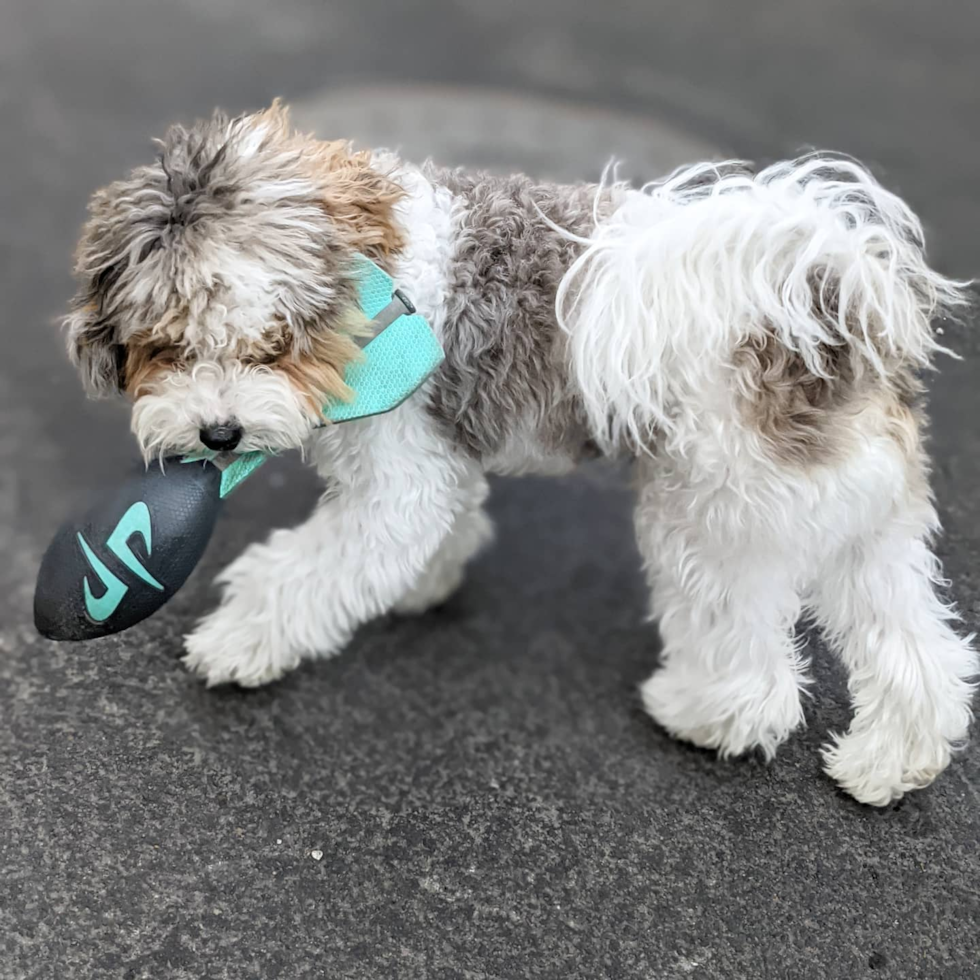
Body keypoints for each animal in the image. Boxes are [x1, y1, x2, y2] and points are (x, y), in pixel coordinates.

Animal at [65, 101, 976, 804]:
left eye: (272, 344)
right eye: (168, 347)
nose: (219, 435)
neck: (377, 280)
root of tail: (822, 311)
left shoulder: (398, 478)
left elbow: (308, 572)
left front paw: (239, 643)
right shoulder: (438, 458)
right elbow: (437, 525)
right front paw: (424, 585)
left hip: (711, 517)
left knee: (755, 668)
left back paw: (702, 714)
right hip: (864, 522)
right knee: (916, 648)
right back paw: (890, 764)